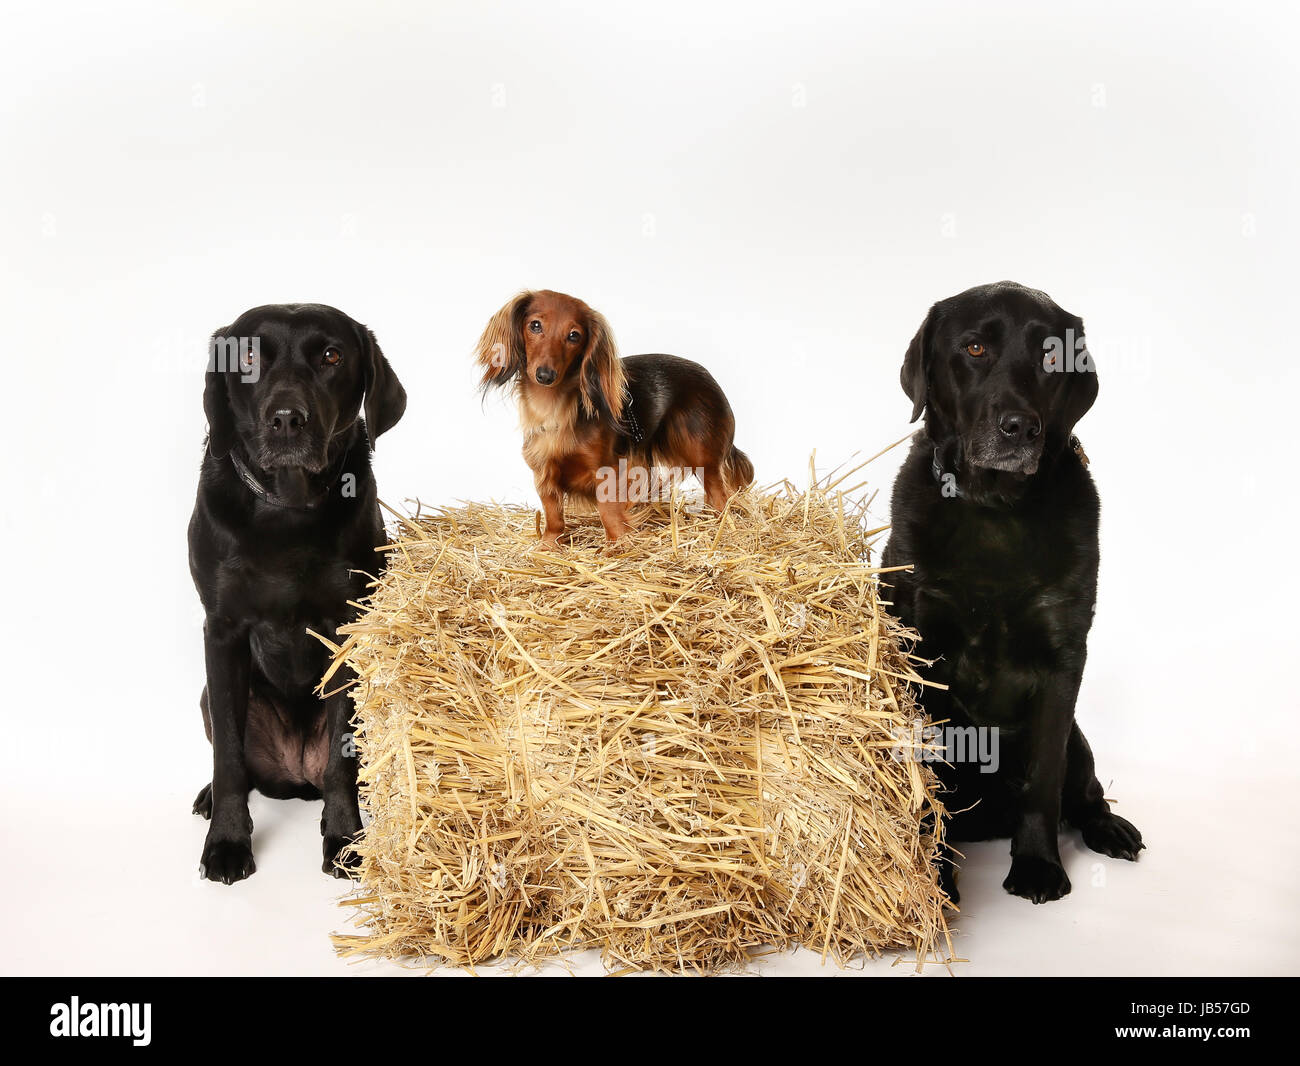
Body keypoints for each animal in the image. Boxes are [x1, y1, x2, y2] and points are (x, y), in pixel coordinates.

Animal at [188, 301, 405, 883]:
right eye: (245, 357)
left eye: (331, 356)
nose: (287, 419)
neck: (285, 509)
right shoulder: (222, 632)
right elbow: (229, 758)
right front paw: (227, 842)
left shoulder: (346, 629)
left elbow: (340, 759)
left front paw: (345, 839)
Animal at [878, 280, 1144, 899]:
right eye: (975, 348)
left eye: (1051, 357)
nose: (1020, 427)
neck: (995, 509)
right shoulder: (922, 652)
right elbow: (930, 778)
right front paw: (936, 878)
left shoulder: (1063, 662)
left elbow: (1043, 781)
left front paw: (1038, 865)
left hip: (1079, 740)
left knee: (1085, 794)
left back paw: (1110, 828)